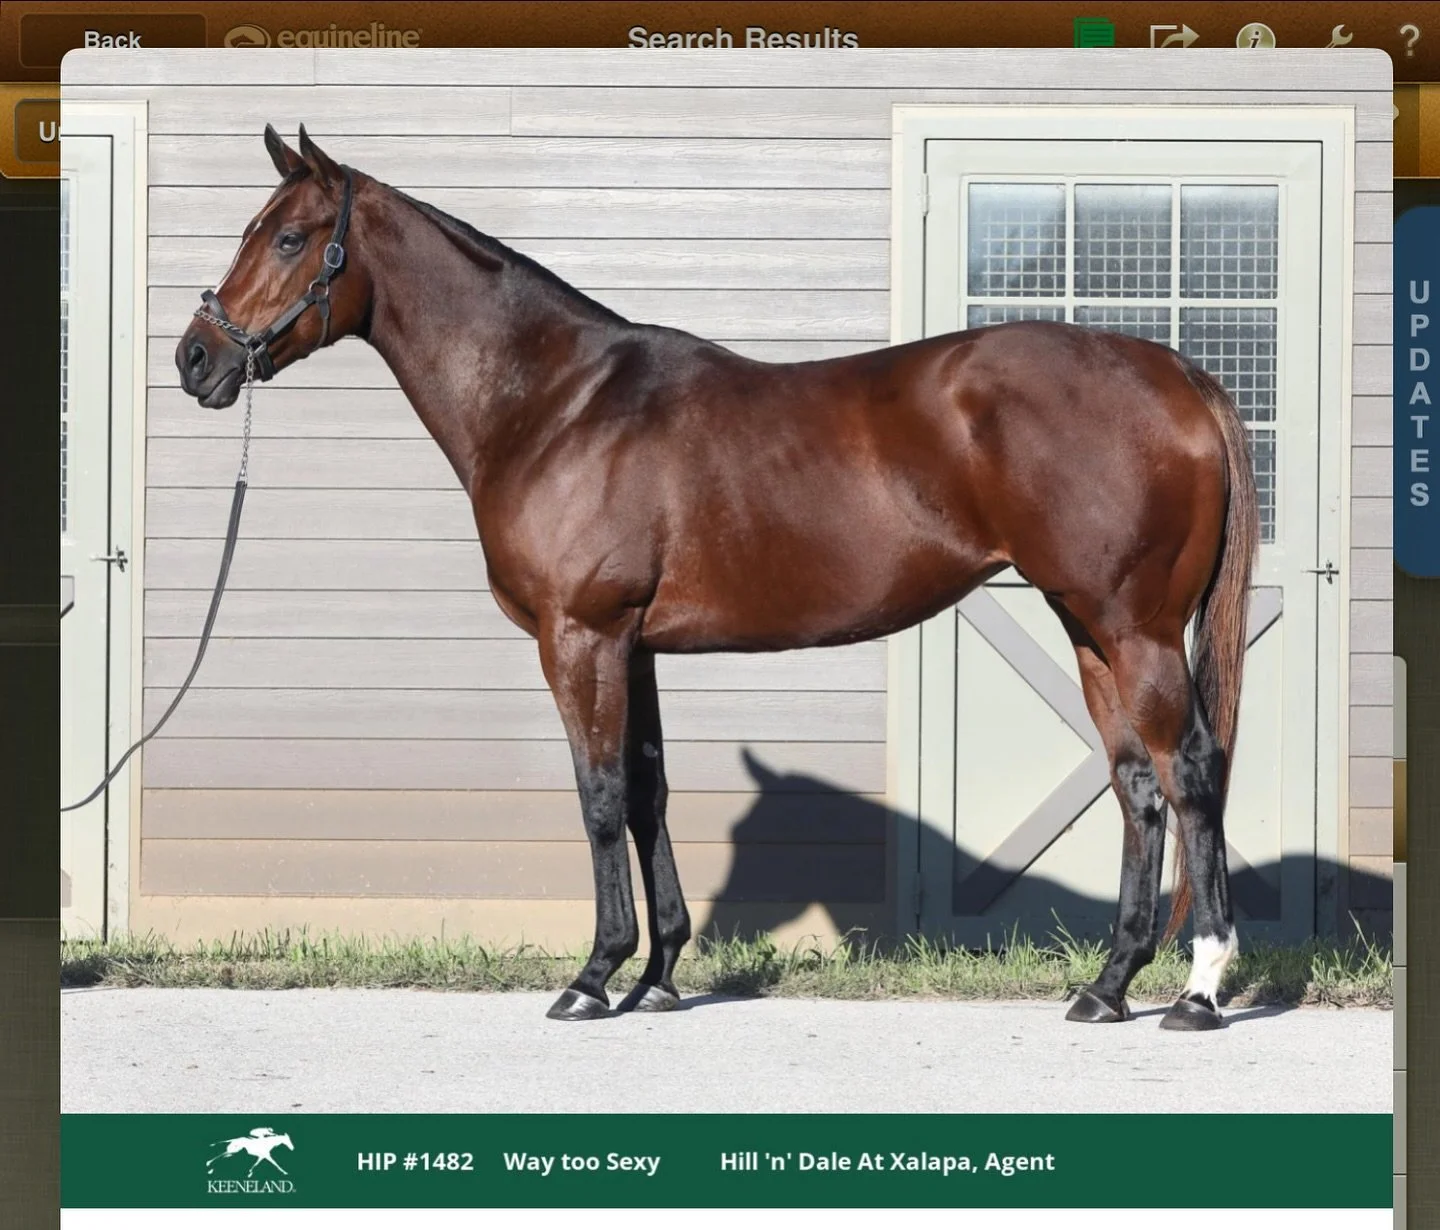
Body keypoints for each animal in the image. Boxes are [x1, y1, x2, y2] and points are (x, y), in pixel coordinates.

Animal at [177, 126, 1258, 1032]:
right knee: (1136, 786)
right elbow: (648, 791)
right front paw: (657, 976)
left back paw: (1199, 990)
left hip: (1137, 630)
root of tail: (1177, 373)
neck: (558, 404)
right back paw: (1107, 987)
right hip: (1089, 628)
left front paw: (592, 978)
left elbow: (599, 794)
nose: (196, 358)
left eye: (291, 238)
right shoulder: (634, 646)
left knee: (1192, 770)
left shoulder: (580, 636)